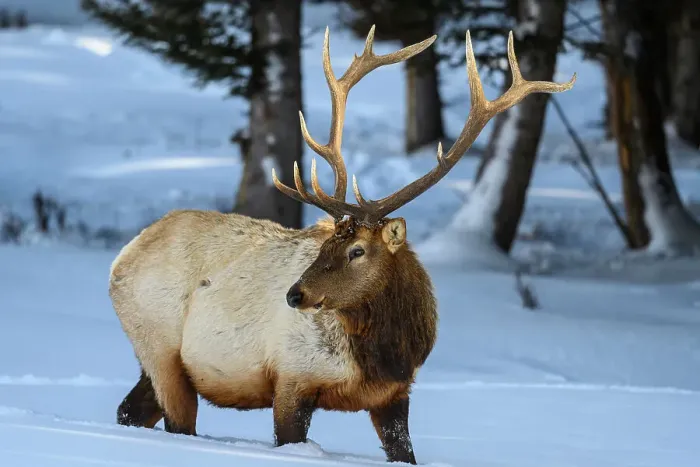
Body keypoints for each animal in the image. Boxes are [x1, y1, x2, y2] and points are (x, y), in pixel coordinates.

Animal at [109, 25, 575, 464]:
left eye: (357, 251)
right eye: (323, 247)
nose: (295, 295)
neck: (383, 354)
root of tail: (121, 259)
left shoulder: (394, 395)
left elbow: (405, 452)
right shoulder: (292, 378)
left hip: (159, 363)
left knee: (129, 411)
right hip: (159, 348)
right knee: (174, 422)